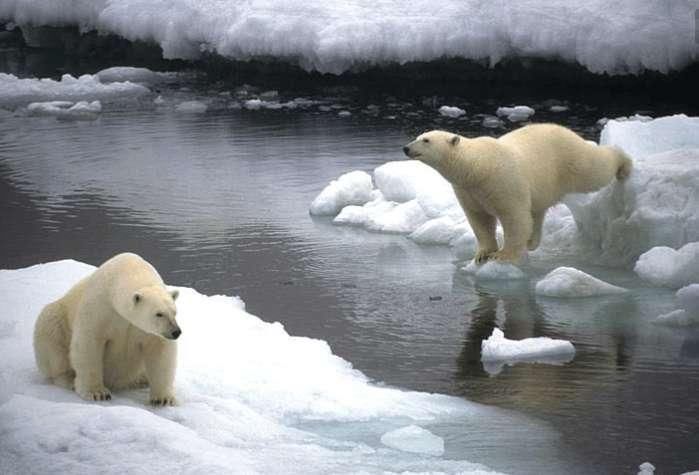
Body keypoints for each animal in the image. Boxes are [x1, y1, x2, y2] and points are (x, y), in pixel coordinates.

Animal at [33, 253, 182, 406]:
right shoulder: (100, 308)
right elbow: (89, 343)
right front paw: (97, 393)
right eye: (159, 314)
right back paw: (68, 379)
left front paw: (163, 399)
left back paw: (142, 380)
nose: (176, 332)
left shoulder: (147, 331)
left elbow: (160, 351)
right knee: (51, 336)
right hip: (57, 318)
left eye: (174, 312)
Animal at [402, 122, 632, 264]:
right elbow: (479, 219)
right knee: (537, 211)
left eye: (426, 140)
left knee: (594, 169)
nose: (406, 148)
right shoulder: (468, 190)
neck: (478, 166)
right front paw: (482, 254)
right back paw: (532, 241)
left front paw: (503, 255)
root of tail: (567, 130)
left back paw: (624, 164)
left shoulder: (503, 181)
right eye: (418, 136)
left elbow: (514, 217)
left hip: (569, 160)